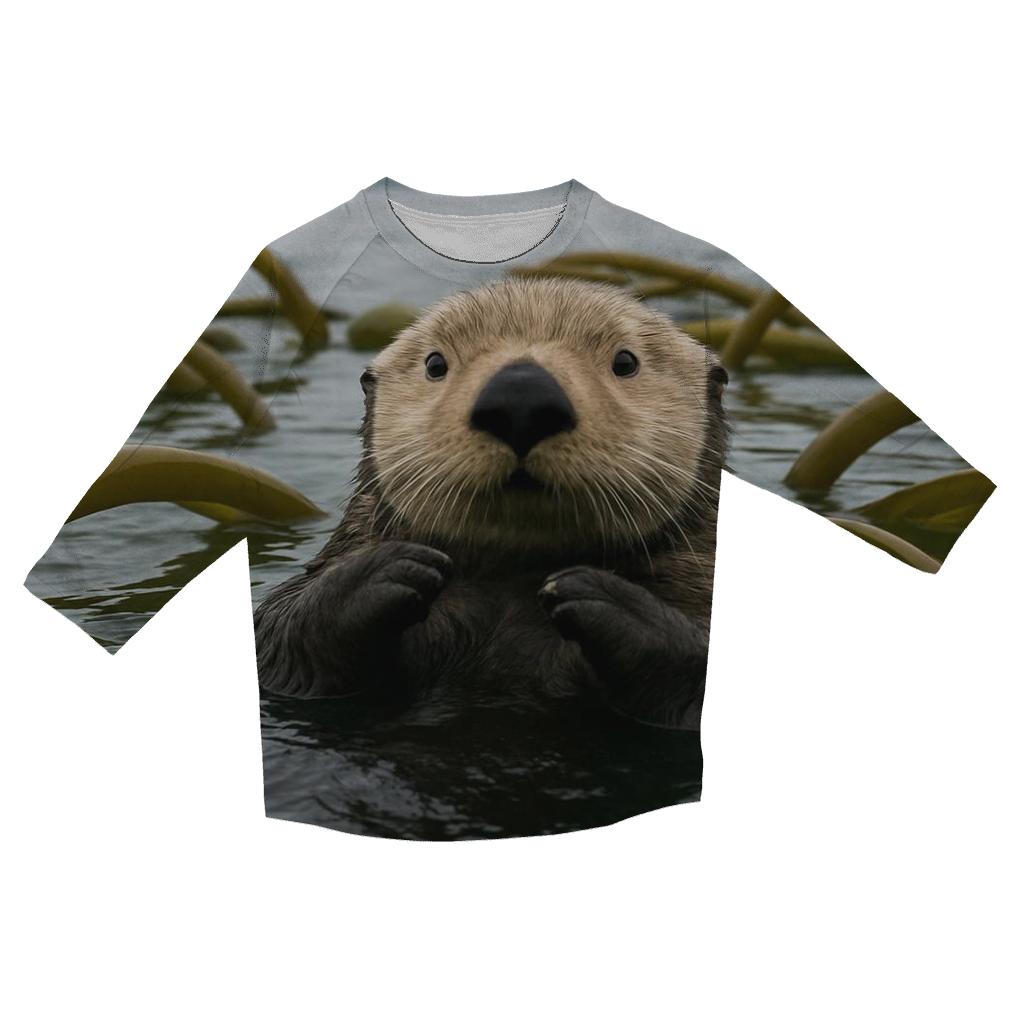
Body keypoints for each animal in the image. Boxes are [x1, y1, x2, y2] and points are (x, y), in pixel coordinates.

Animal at [255, 277, 728, 729]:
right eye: (435, 364)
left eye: (626, 362)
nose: (522, 399)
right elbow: (277, 634)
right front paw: (389, 568)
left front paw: (597, 593)